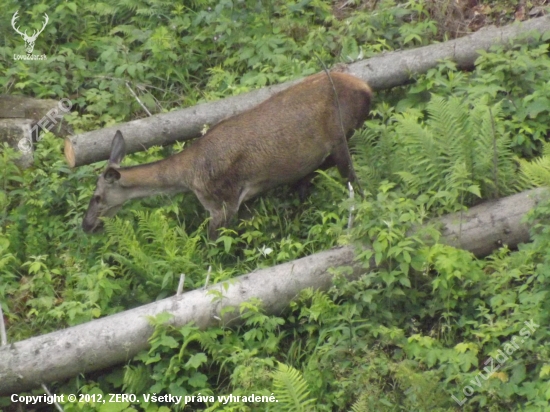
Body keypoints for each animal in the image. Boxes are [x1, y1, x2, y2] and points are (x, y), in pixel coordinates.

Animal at [82, 71, 374, 238]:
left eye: (97, 197)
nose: (85, 225)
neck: (187, 176)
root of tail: (367, 88)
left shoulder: (224, 202)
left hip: (339, 136)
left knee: (354, 180)